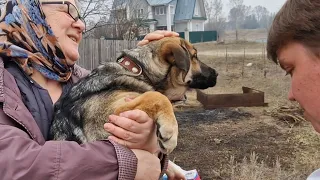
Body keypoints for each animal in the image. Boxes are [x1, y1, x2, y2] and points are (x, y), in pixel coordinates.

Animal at [50, 37, 218, 155]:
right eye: (194, 56)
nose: (216, 73)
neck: (138, 70)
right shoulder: (113, 115)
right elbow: (155, 96)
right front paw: (171, 132)